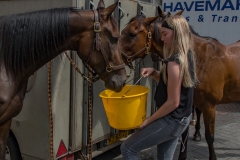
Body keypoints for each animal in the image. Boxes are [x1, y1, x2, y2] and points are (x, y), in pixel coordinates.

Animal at [119, 6, 240, 160]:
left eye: (132, 34)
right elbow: (183, 134)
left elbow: (210, 136)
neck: (201, 59)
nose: (114, 56)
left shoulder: (210, 106)